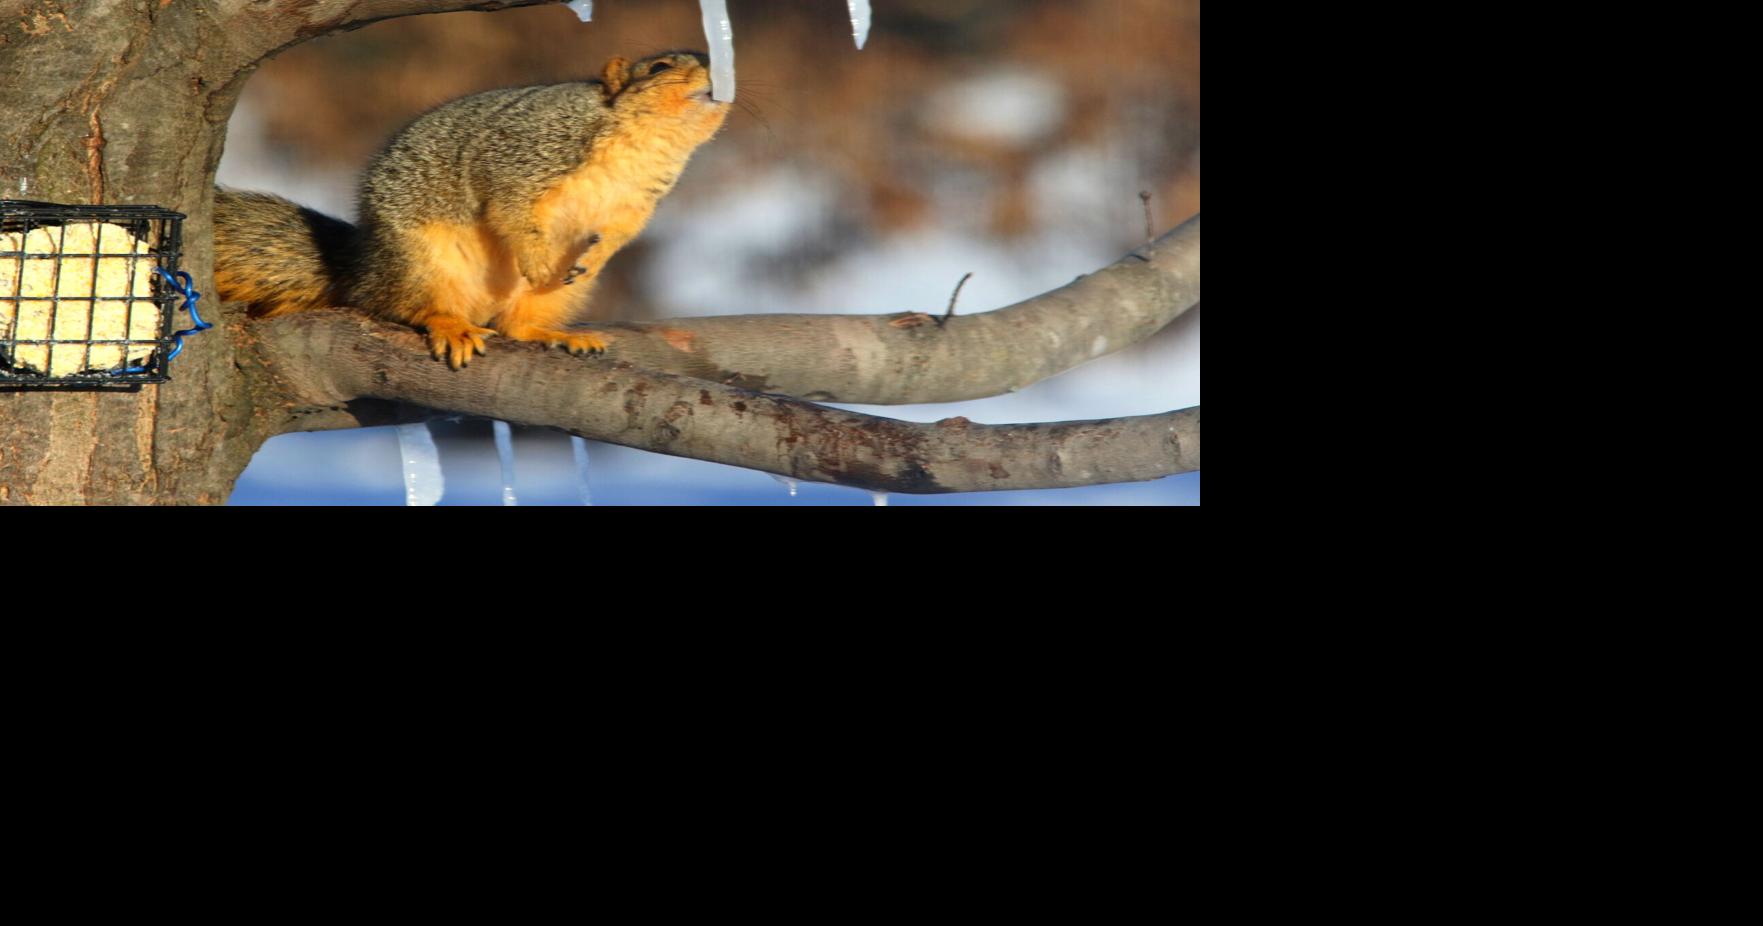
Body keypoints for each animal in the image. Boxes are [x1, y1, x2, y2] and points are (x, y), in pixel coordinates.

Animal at [214, 51, 729, 368]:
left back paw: (556, 334)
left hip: (553, 296)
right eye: (659, 66)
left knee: (517, 325)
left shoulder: (638, 202)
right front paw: (536, 258)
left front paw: (594, 255)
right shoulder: (524, 155)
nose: (718, 72)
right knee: (403, 305)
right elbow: (510, 209)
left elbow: (620, 234)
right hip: (419, 261)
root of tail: (361, 270)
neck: (648, 143)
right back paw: (449, 324)